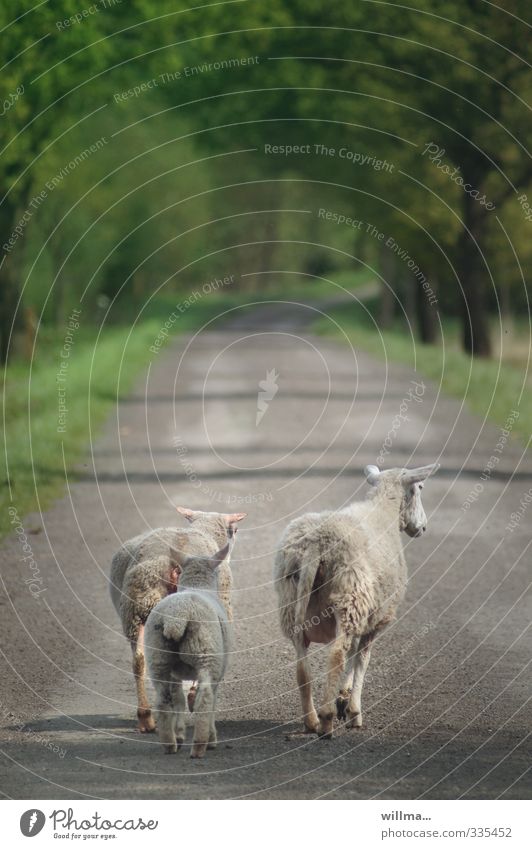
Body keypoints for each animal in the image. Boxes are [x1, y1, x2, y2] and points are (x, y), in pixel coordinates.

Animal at [110, 506, 247, 732]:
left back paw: (146, 717)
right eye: (234, 531)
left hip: (136, 610)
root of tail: (172, 561)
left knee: (139, 661)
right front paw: (193, 697)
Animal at [144, 540, 232, 760]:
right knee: (205, 698)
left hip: (158, 658)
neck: (197, 584)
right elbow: (212, 701)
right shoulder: (218, 670)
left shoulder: (174, 674)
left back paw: (169, 744)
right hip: (206, 653)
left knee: (163, 699)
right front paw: (211, 737)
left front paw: (180, 734)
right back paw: (201, 745)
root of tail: (177, 616)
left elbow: (179, 699)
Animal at [272, 464, 438, 736]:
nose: (422, 528)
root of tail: (317, 542)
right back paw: (326, 721)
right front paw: (353, 711)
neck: (384, 511)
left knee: (303, 666)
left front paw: (344, 696)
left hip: (293, 603)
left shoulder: (364, 613)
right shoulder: (377, 617)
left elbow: (354, 655)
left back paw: (311, 721)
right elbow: (362, 659)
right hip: (350, 596)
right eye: (420, 487)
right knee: (337, 655)